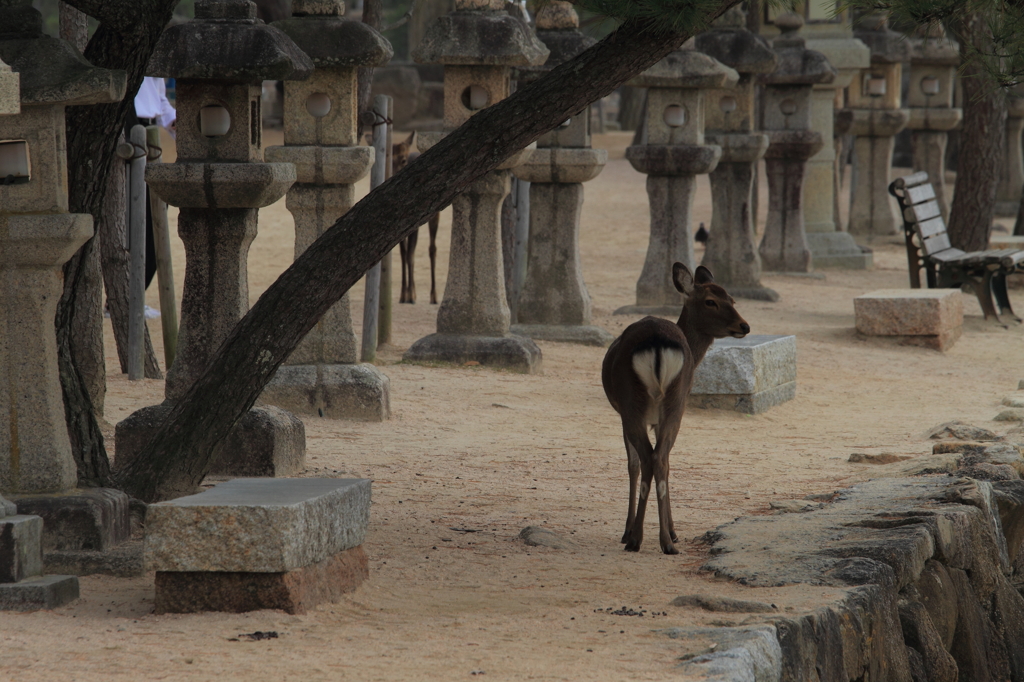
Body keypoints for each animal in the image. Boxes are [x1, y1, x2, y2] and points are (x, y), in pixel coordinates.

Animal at [391, 133, 440, 303]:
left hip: (434, 215)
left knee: (432, 248)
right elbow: (403, 253)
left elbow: (410, 254)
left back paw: (434, 295)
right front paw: (403, 294)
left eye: (403, 159)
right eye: (389, 159)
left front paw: (410, 295)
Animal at [598, 261, 753, 552]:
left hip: (642, 404)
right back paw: (656, 541)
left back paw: (645, 540)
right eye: (711, 301)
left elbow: (641, 464)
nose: (744, 326)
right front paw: (667, 530)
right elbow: (651, 463)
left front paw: (639, 531)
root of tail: (657, 341)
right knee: (656, 459)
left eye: (732, 299)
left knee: (652, 459)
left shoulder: (634, 415)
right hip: (668, 403)